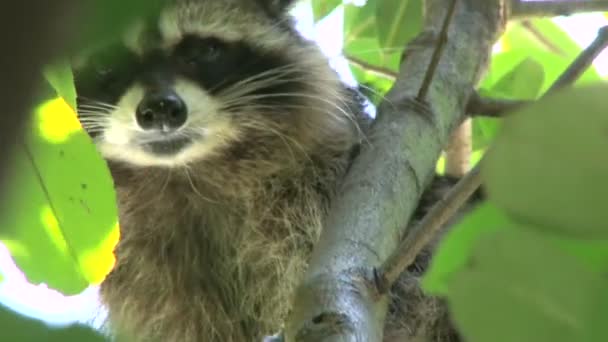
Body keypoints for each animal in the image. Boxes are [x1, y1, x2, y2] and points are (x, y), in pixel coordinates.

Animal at [71, 0, 460, 342]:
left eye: (202, 50)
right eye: (105, 62)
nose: (161, 108)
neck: (187, 174)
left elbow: (410, 292)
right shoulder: (150, 276)